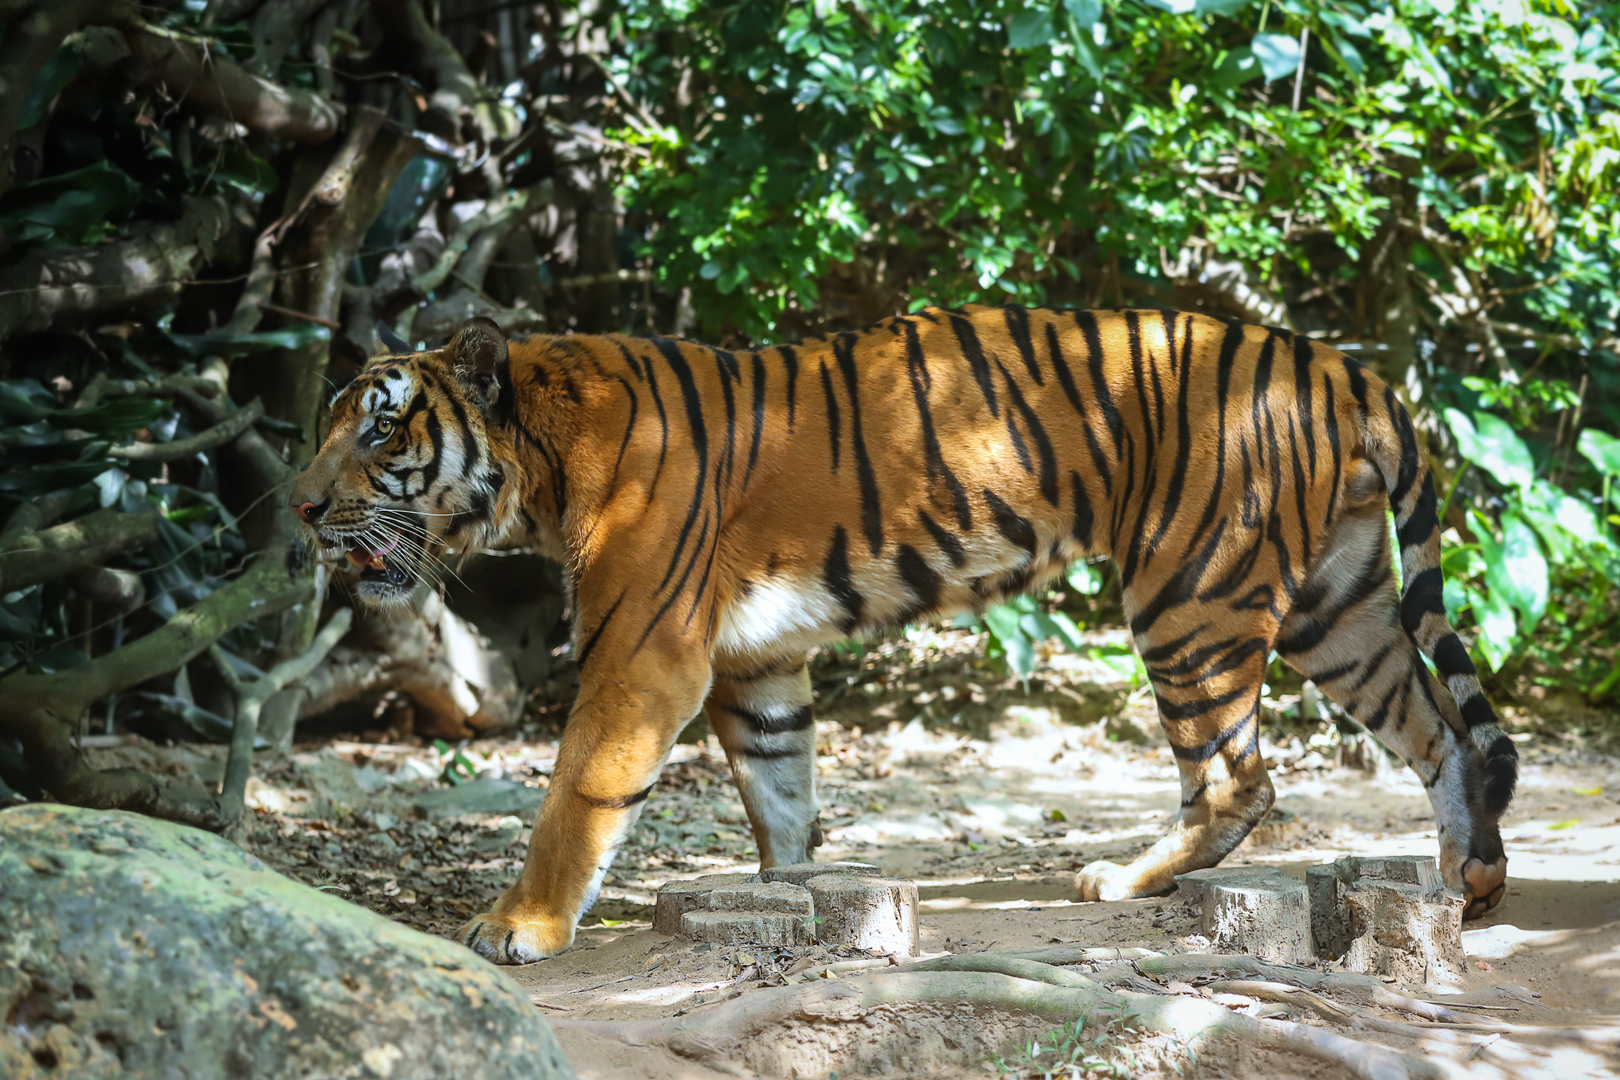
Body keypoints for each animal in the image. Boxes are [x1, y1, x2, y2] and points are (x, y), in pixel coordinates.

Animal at [289, 306, 1518, 965]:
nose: (299, 508)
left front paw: (522, 925)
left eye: (379, 432)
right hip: (1336, 604)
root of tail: (1340, 363)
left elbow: (575, 800)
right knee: (1438, 731)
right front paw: (793, 897)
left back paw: (1122, 881)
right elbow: (781, 790)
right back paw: (1469, 882)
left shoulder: (644, 656)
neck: (540, 469)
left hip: (1192, 596)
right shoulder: (753, 662)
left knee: (1239, 778)